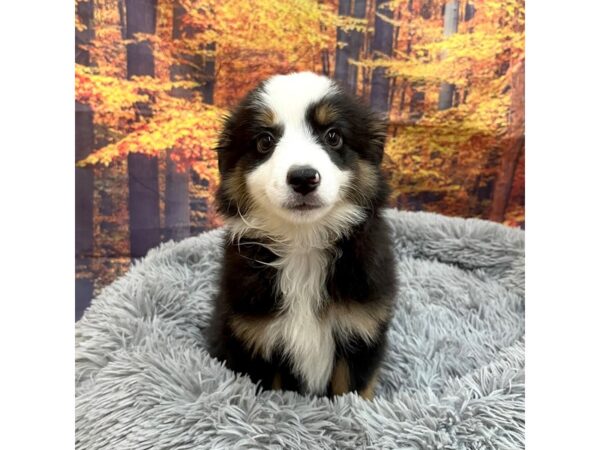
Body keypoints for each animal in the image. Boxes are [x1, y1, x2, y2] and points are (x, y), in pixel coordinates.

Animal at [209, 71, 396, 400]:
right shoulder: (254, 342)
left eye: (333, 136)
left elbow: (353, 396)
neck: (303, 245)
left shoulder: (361, 334)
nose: (303, 178)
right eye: (265, 141)